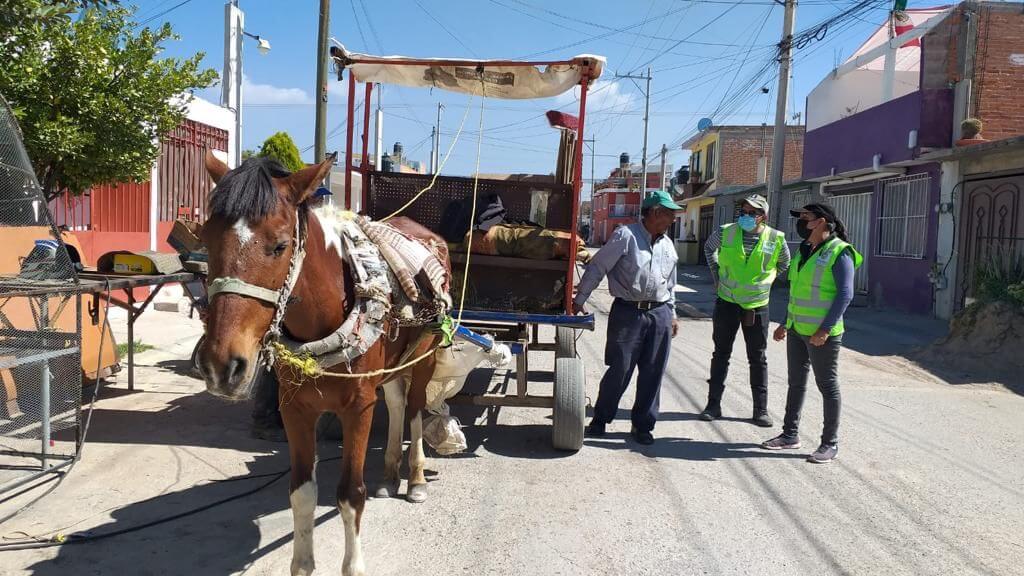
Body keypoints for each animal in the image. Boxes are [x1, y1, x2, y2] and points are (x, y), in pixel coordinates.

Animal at [198, 150, 452, 569]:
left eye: (280, 245)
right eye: (206, 241)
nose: (221, 365)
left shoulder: (358, 407)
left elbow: (350, 494)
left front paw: (354, 566)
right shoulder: (294, 409)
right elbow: (302, 494)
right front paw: (302, 565)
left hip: (426, 353)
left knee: (415, 409)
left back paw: (414, 478)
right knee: (397, 402)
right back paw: (389, 475)